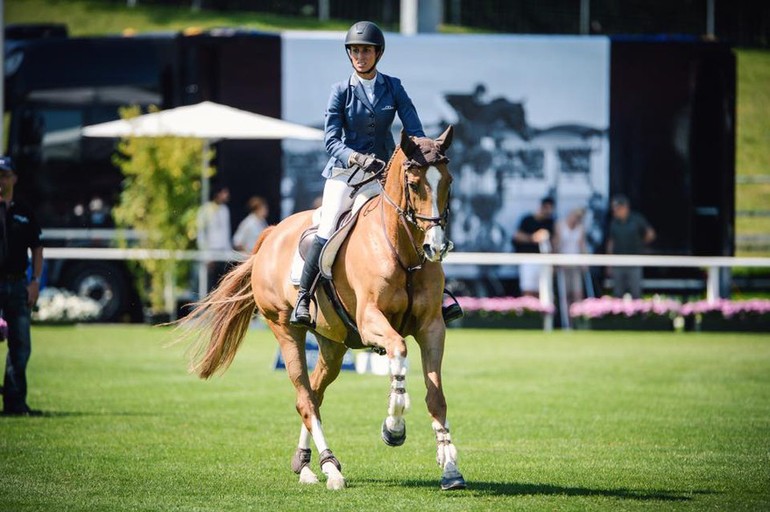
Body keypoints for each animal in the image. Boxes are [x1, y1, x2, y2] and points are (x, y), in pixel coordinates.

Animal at [182, 126, 462, 490]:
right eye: (414, 184)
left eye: (449, 181)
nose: (435, 247)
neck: (401, 251)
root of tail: (272, 233)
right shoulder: (371, 320)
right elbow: (399, 352)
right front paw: (394, 427)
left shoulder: (431, 327)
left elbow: (436, 395)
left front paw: (450, 465)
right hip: (285, 329)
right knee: (305, 398)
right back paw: (330, 468)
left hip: (333, 344)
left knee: (314, 393)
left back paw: (304, 464)